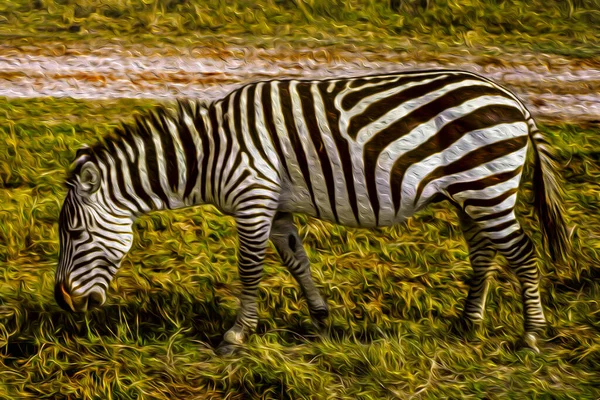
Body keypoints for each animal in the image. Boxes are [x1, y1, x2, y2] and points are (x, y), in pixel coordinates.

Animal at [54, 69, 568, 354]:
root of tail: (511, 98)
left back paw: (531, 335)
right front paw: (320, 316)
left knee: (522, 253)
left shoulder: (253, 198)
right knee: (484, 253)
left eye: (75, 234)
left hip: (486, 185)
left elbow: (250, 269)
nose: (63, 303)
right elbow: (296, 259)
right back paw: (468, 323)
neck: (208, 153)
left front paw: (235, 336)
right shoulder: (276, 206)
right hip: (469, 192)